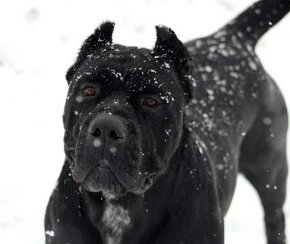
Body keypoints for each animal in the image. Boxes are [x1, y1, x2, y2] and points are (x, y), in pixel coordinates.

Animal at [44, 0, 288, 243]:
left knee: (274, 216)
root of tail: (232, 37)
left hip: (270, 169)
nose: (106, 128)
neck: (121, 204)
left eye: (151, 102)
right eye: (88, 90)